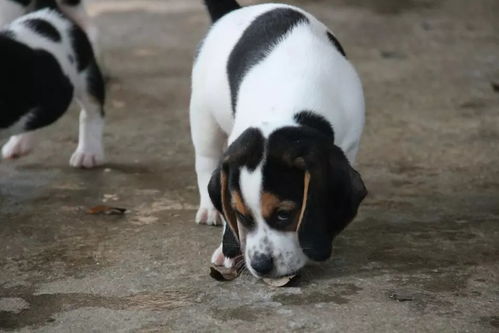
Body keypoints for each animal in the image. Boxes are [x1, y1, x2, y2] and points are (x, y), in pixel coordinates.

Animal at [191, 0, 368, 280]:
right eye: (241, 215)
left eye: (285, 215)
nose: (260, 265)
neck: (289, 107)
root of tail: (235, 11)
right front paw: (227, 249)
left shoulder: (349, 145)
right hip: (203, 115)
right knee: (206, 162)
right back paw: (210, 208)